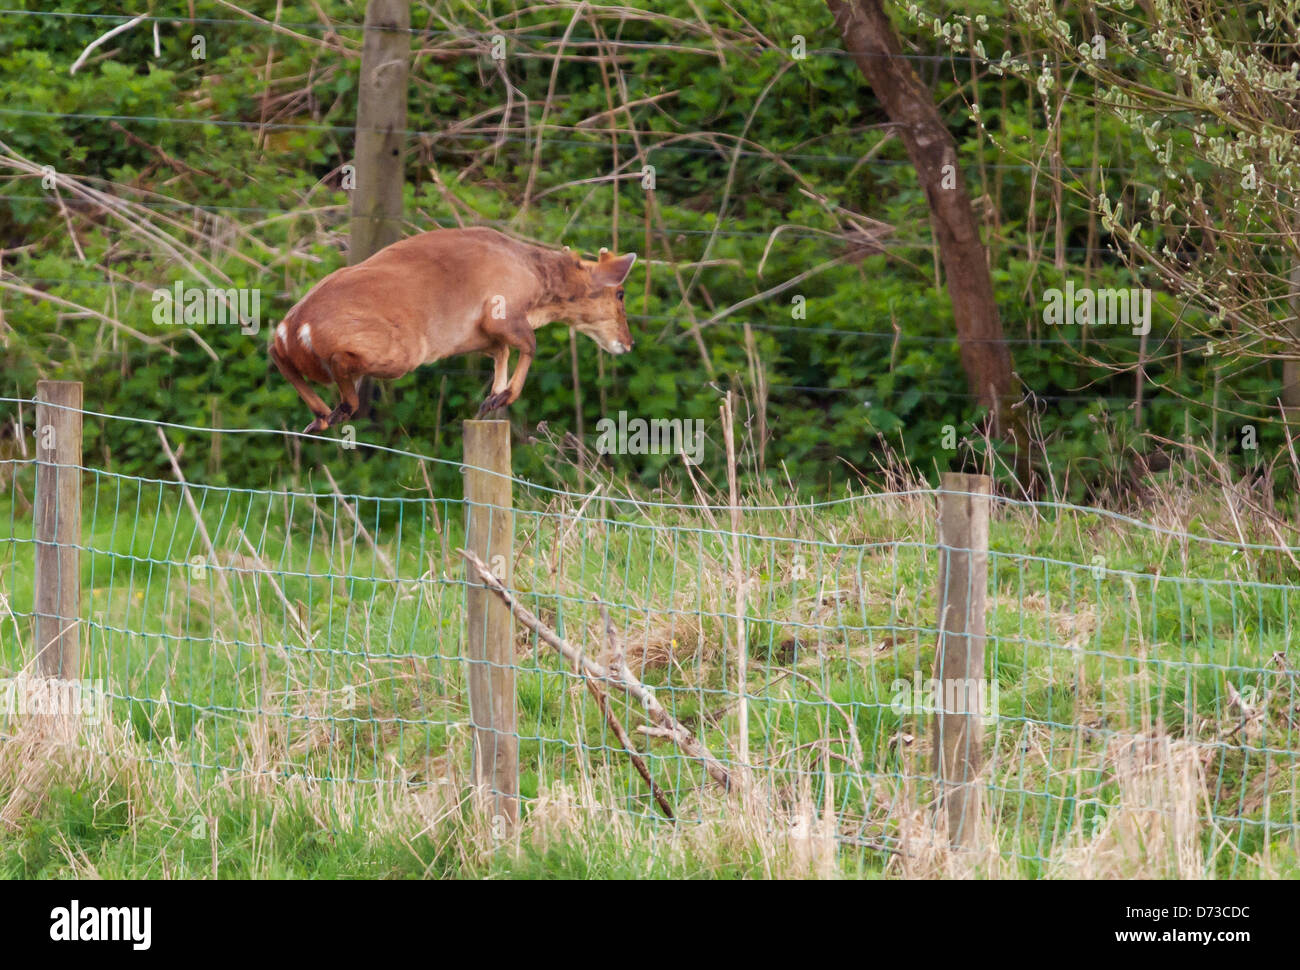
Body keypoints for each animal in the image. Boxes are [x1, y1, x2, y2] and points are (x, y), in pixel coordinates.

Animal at [271, 226, 637, 431]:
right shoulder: (501, 309)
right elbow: (529, 345)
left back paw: (320, 417)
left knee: (275, 353)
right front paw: (503, 396)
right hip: (400, 351)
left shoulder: (475, 336)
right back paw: (341, 409)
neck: (536, 284)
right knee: (339, 361)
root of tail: (296, 327)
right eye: (620, 293)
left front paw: (491, 398)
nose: (628, 343)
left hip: (289, 344)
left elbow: (501, 351)